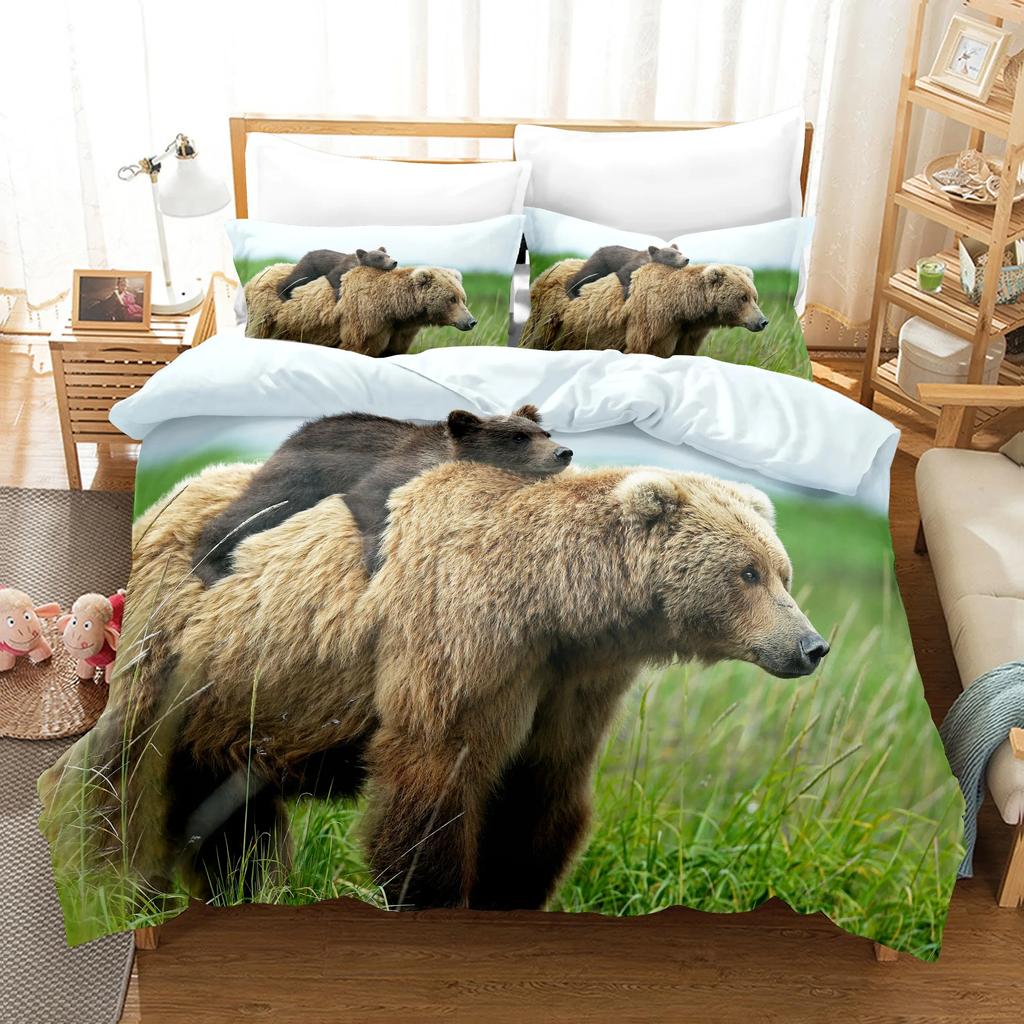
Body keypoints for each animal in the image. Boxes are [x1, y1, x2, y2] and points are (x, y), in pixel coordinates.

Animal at [39, 459, 827, 918]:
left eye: (781, 569)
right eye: (748, 572)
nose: (811, 646)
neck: (559, 606)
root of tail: (161, 503)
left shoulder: (570, 684)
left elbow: (540, 796)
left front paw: (515, 891)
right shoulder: (462, 641)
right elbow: (436, 782)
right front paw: (433, 895)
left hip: (233, 701)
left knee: (230, 815)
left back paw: (234, 893)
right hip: (175, 655)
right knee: (117, 770)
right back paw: (104, 884)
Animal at [192, 404, 573, 585]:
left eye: (544, 432)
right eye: (518, 438)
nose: (563, 452)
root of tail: (298, 430)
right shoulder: (394, 470)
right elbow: (370, 499)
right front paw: (377, 562)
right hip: (300, 475)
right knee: (257, 507)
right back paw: (210, 563)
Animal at [244, 263, 476, 355]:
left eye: (463, 298)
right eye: (452, 299)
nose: (471, 321)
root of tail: (256, 275)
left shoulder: (399, 331)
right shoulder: (364, 321)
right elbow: (357, 346)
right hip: (266, 313)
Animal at [522, 260, 769, 358]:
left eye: (754, 296)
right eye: (743, 297)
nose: (763, 321)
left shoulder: (687, 333)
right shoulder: (652, 322)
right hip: (549, 316)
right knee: (535, 341)